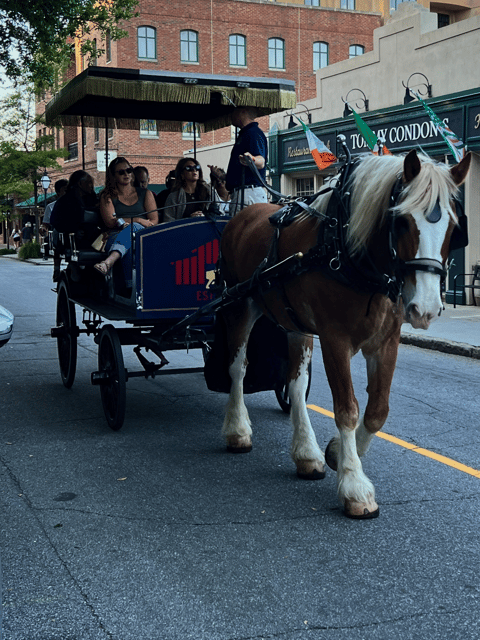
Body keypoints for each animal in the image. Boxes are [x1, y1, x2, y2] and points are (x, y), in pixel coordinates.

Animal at [219, 151, 470, 520]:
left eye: (454, 227)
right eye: (401, 222)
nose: (424, 308)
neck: (350, 253)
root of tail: (242, 215)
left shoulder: (386, 342)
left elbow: (377, 410)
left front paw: (336, 454)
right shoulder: (334, 340)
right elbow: (347, 409)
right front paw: (355, 486)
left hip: (294, 323)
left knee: (295, 385)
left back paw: (306, 454)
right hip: (240, 304)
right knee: (237, 368)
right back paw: (237, 430)